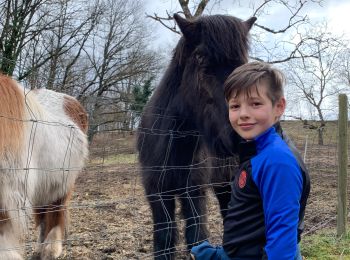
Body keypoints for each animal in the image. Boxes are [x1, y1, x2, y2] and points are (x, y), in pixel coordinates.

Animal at [0, 74, 87, 258]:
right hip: (43, 187)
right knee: (43, 216)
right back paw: (40, 249)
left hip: (62, 182)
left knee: (55, 212)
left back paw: (51, 250)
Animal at [137, 13, 258, 258]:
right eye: (200, 57)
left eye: (243, 62)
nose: (240, 131)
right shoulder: (157, 193)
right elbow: (164, 240)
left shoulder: (194, 191)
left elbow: (196, 237)